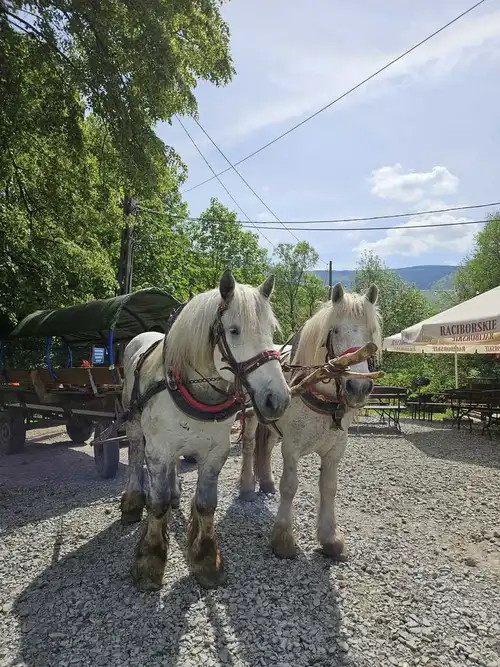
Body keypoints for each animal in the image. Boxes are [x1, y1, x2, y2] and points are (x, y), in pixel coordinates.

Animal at [120, 268, 290, 592]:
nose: (278, 400)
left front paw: (207, 559)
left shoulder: (215, 452)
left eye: (271, 331)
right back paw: (133, 502)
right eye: (234, 330)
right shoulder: (158, 450)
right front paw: (150, 559)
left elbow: (206, 504)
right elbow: (157, 504)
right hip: (134, 424)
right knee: (135, 456)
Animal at [237, 284, 378, 560]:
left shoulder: (335, 450)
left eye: (371, 332)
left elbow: (329, 487)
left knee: (266, 445)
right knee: (249, 446)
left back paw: (266, 481)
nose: (359, 386)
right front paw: (283, 539)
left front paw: (330, 538)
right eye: (335, 330)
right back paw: (247, 486)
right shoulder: (291, 447)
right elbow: (290, 486)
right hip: (251, 414)